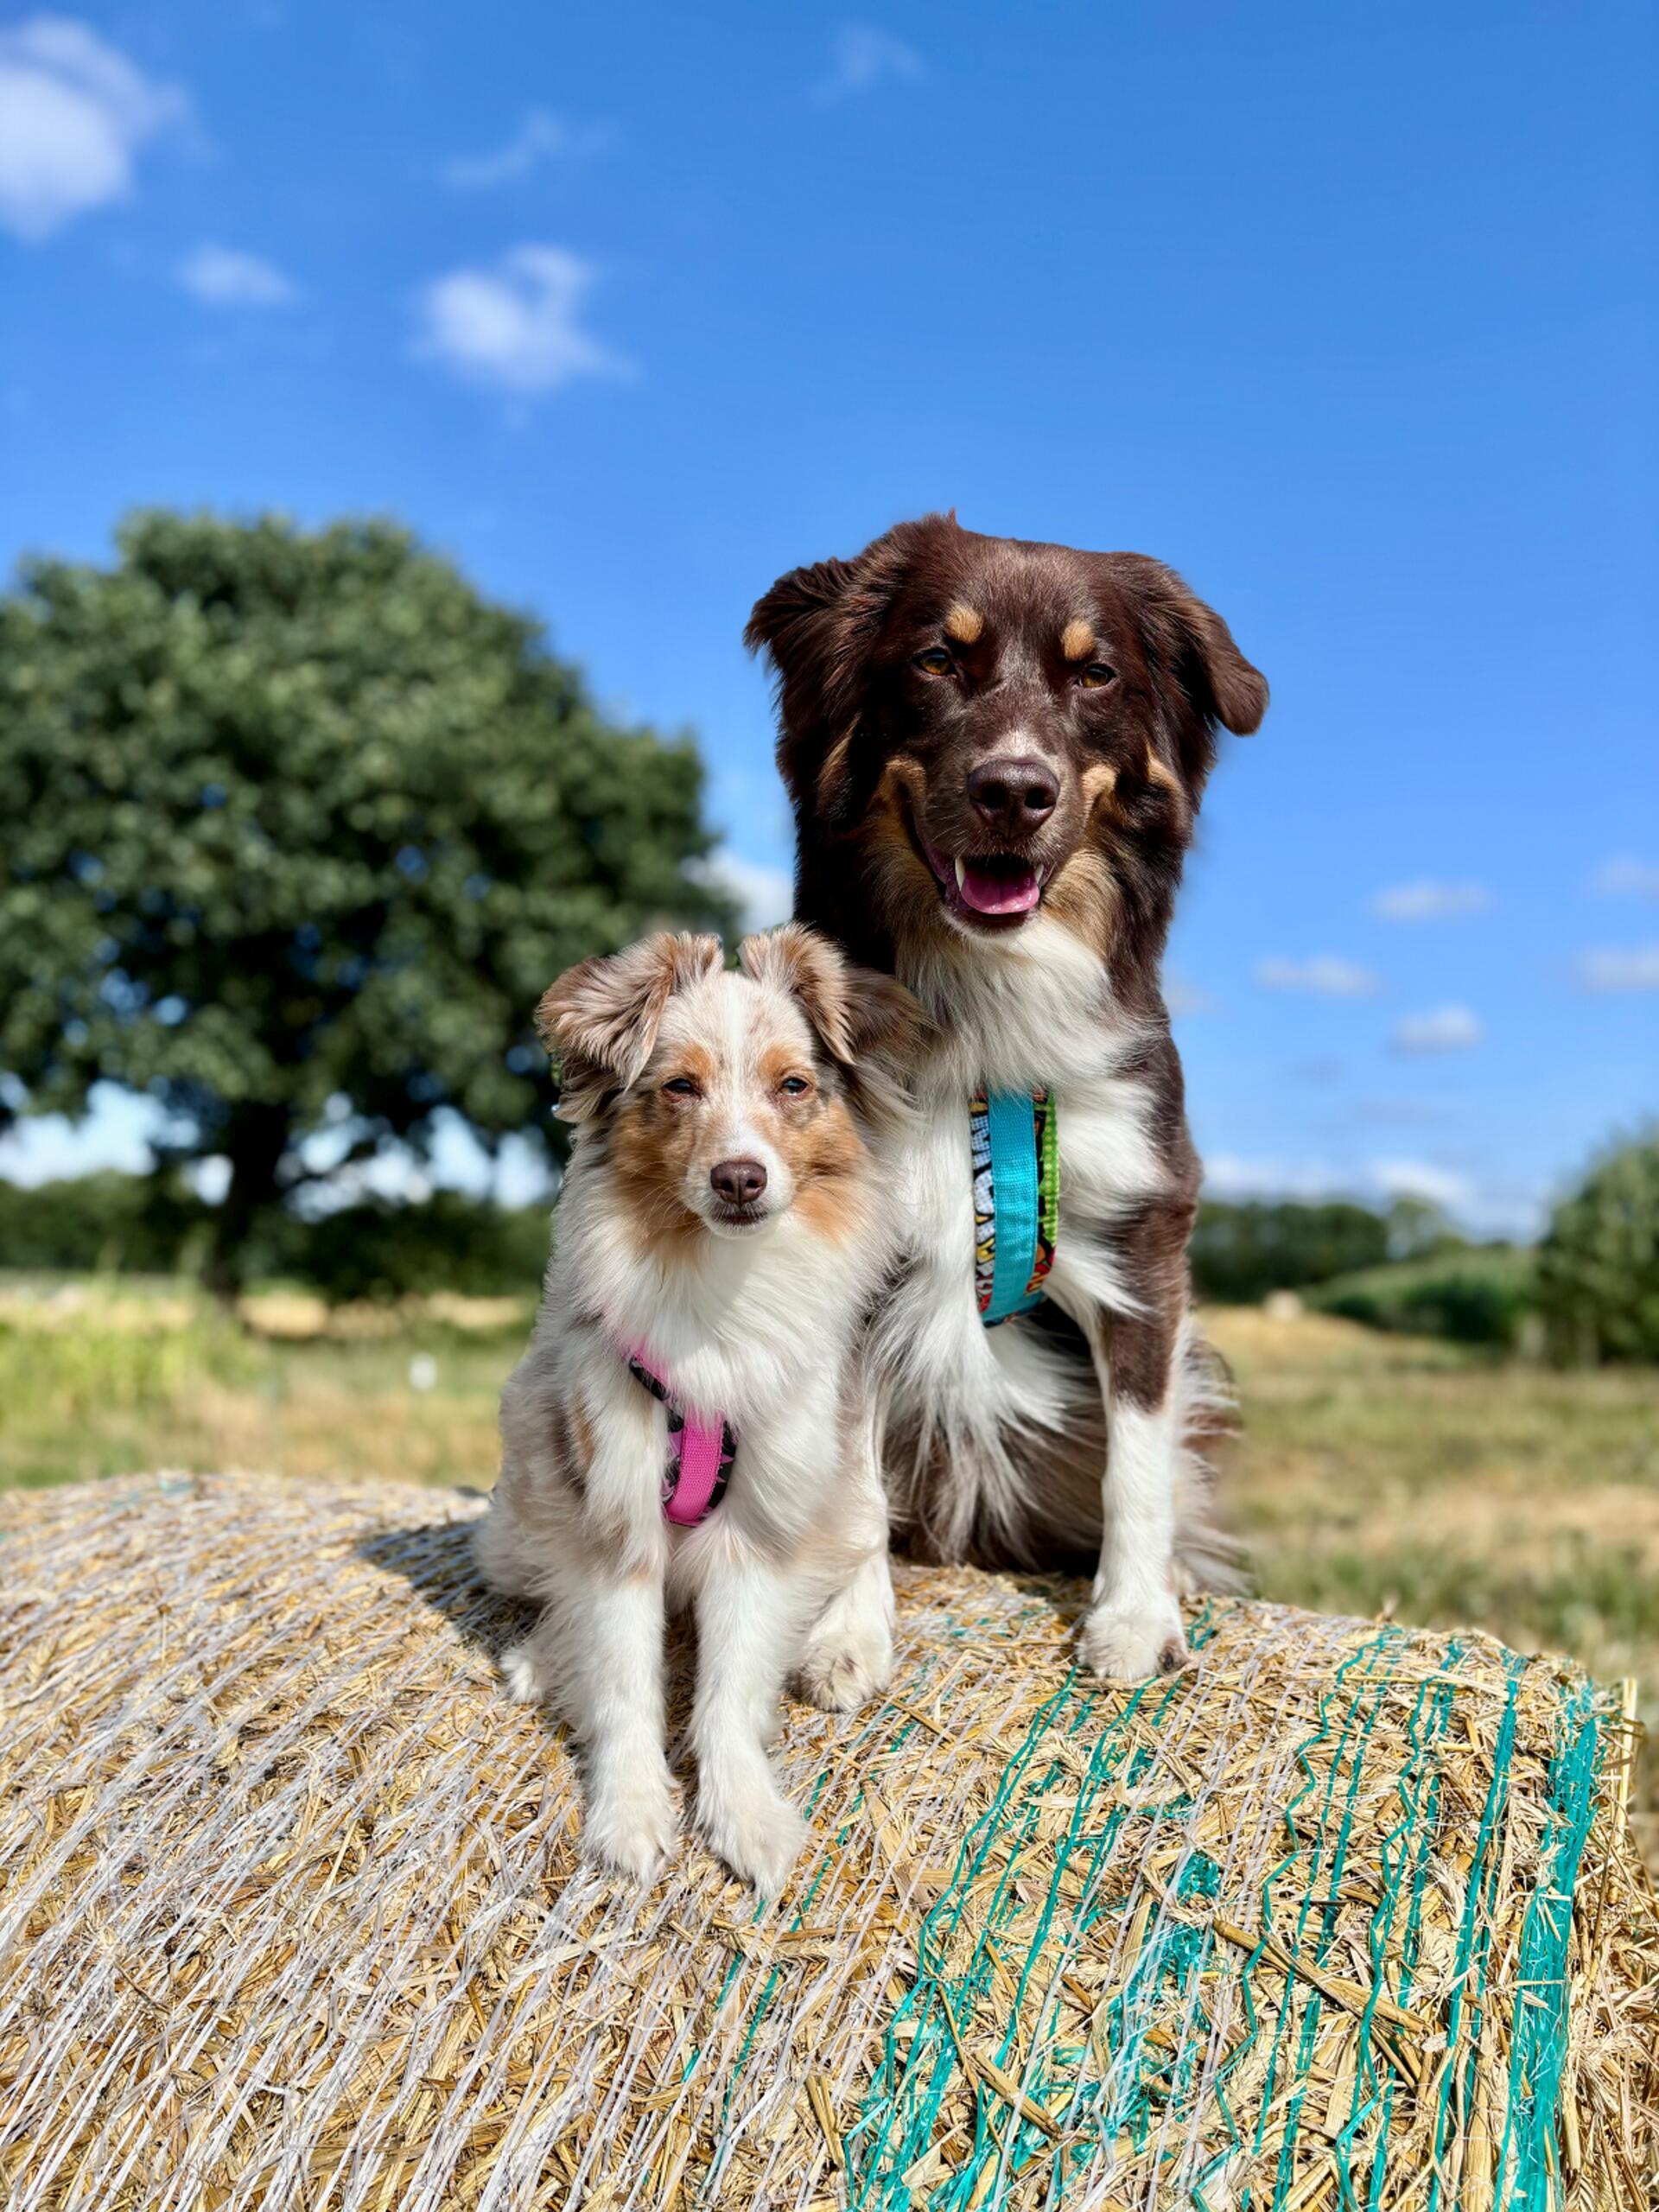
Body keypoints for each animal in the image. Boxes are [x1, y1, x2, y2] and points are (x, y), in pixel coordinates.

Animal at [752, 518, 1274, 1681]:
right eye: (938, 661)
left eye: (1095, 674)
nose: (1014, 789)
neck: (988, 1010)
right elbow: (849, 1465)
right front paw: (847, 1626)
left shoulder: (1143, 1234)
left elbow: (1139, 1452)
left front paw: (1133, 1616)